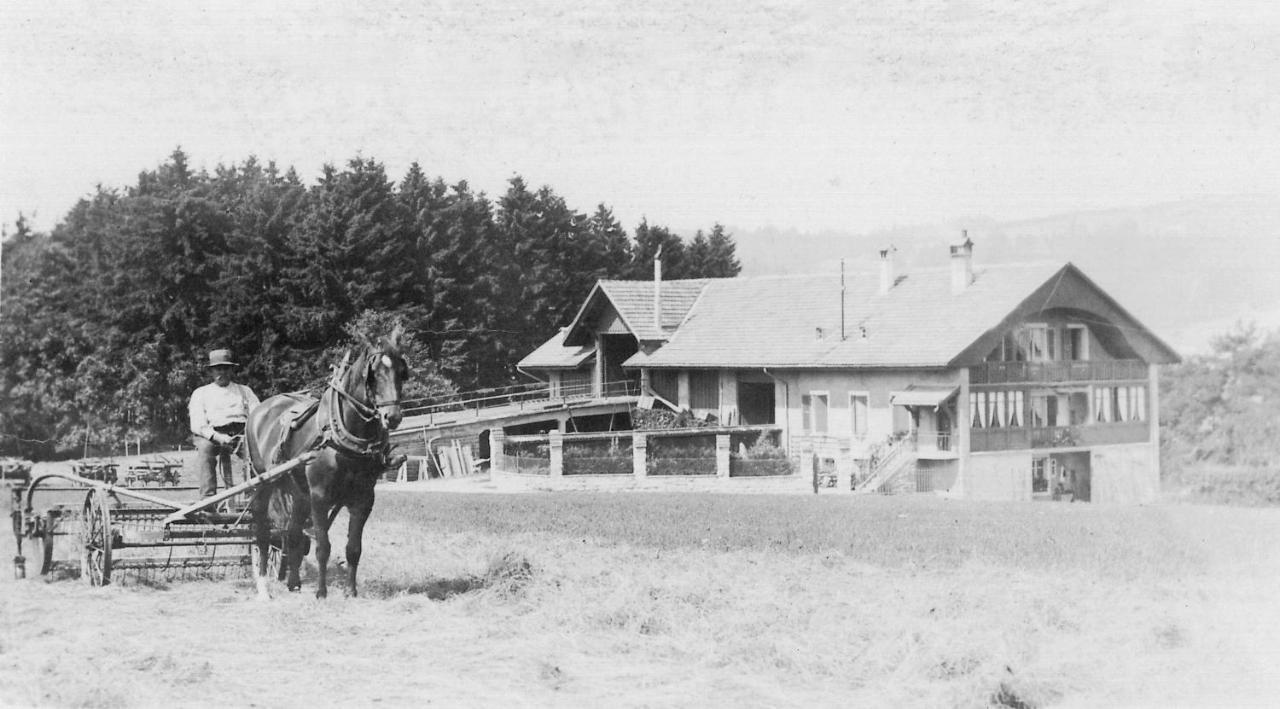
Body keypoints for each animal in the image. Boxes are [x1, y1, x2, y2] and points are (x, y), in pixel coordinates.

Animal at [244, 327, 409, 596]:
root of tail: (261, 408)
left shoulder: (364, 499)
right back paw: (263, 586)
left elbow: (353, 548)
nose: (392, 416)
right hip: (263, 484)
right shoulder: (320, 497)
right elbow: (323, 547)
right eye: (373, 375)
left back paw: (293, 582)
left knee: (292, 533)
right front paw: (321, 593)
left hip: (299, 492)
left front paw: (351, 591)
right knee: (262, 533)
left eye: (401, 372)